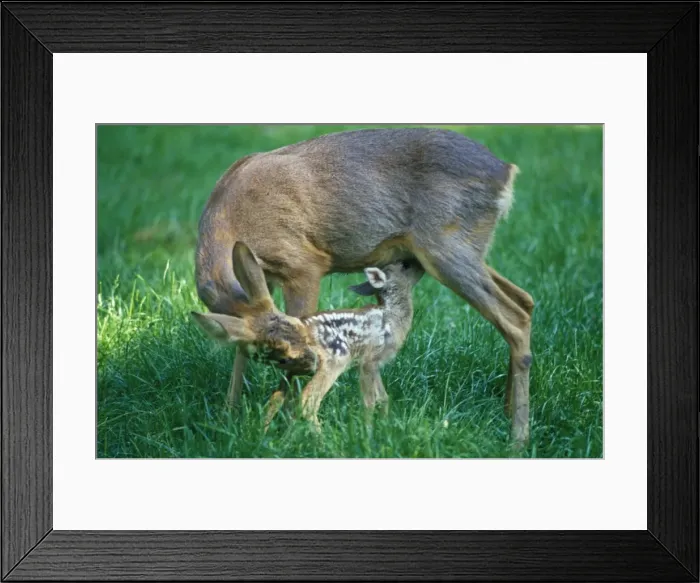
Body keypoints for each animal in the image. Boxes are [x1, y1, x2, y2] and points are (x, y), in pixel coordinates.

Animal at [191, 241, 424, 430]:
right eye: (404, 265)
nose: (418, 263)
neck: (391, 316)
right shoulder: (369, 358)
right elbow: (370, 401)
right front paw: (369, 430)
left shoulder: (373, 363)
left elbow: (383, 397)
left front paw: (384, 424)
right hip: (335, 359)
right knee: (306, 402)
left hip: (297, 368)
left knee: (277, 397)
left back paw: (263, 433)